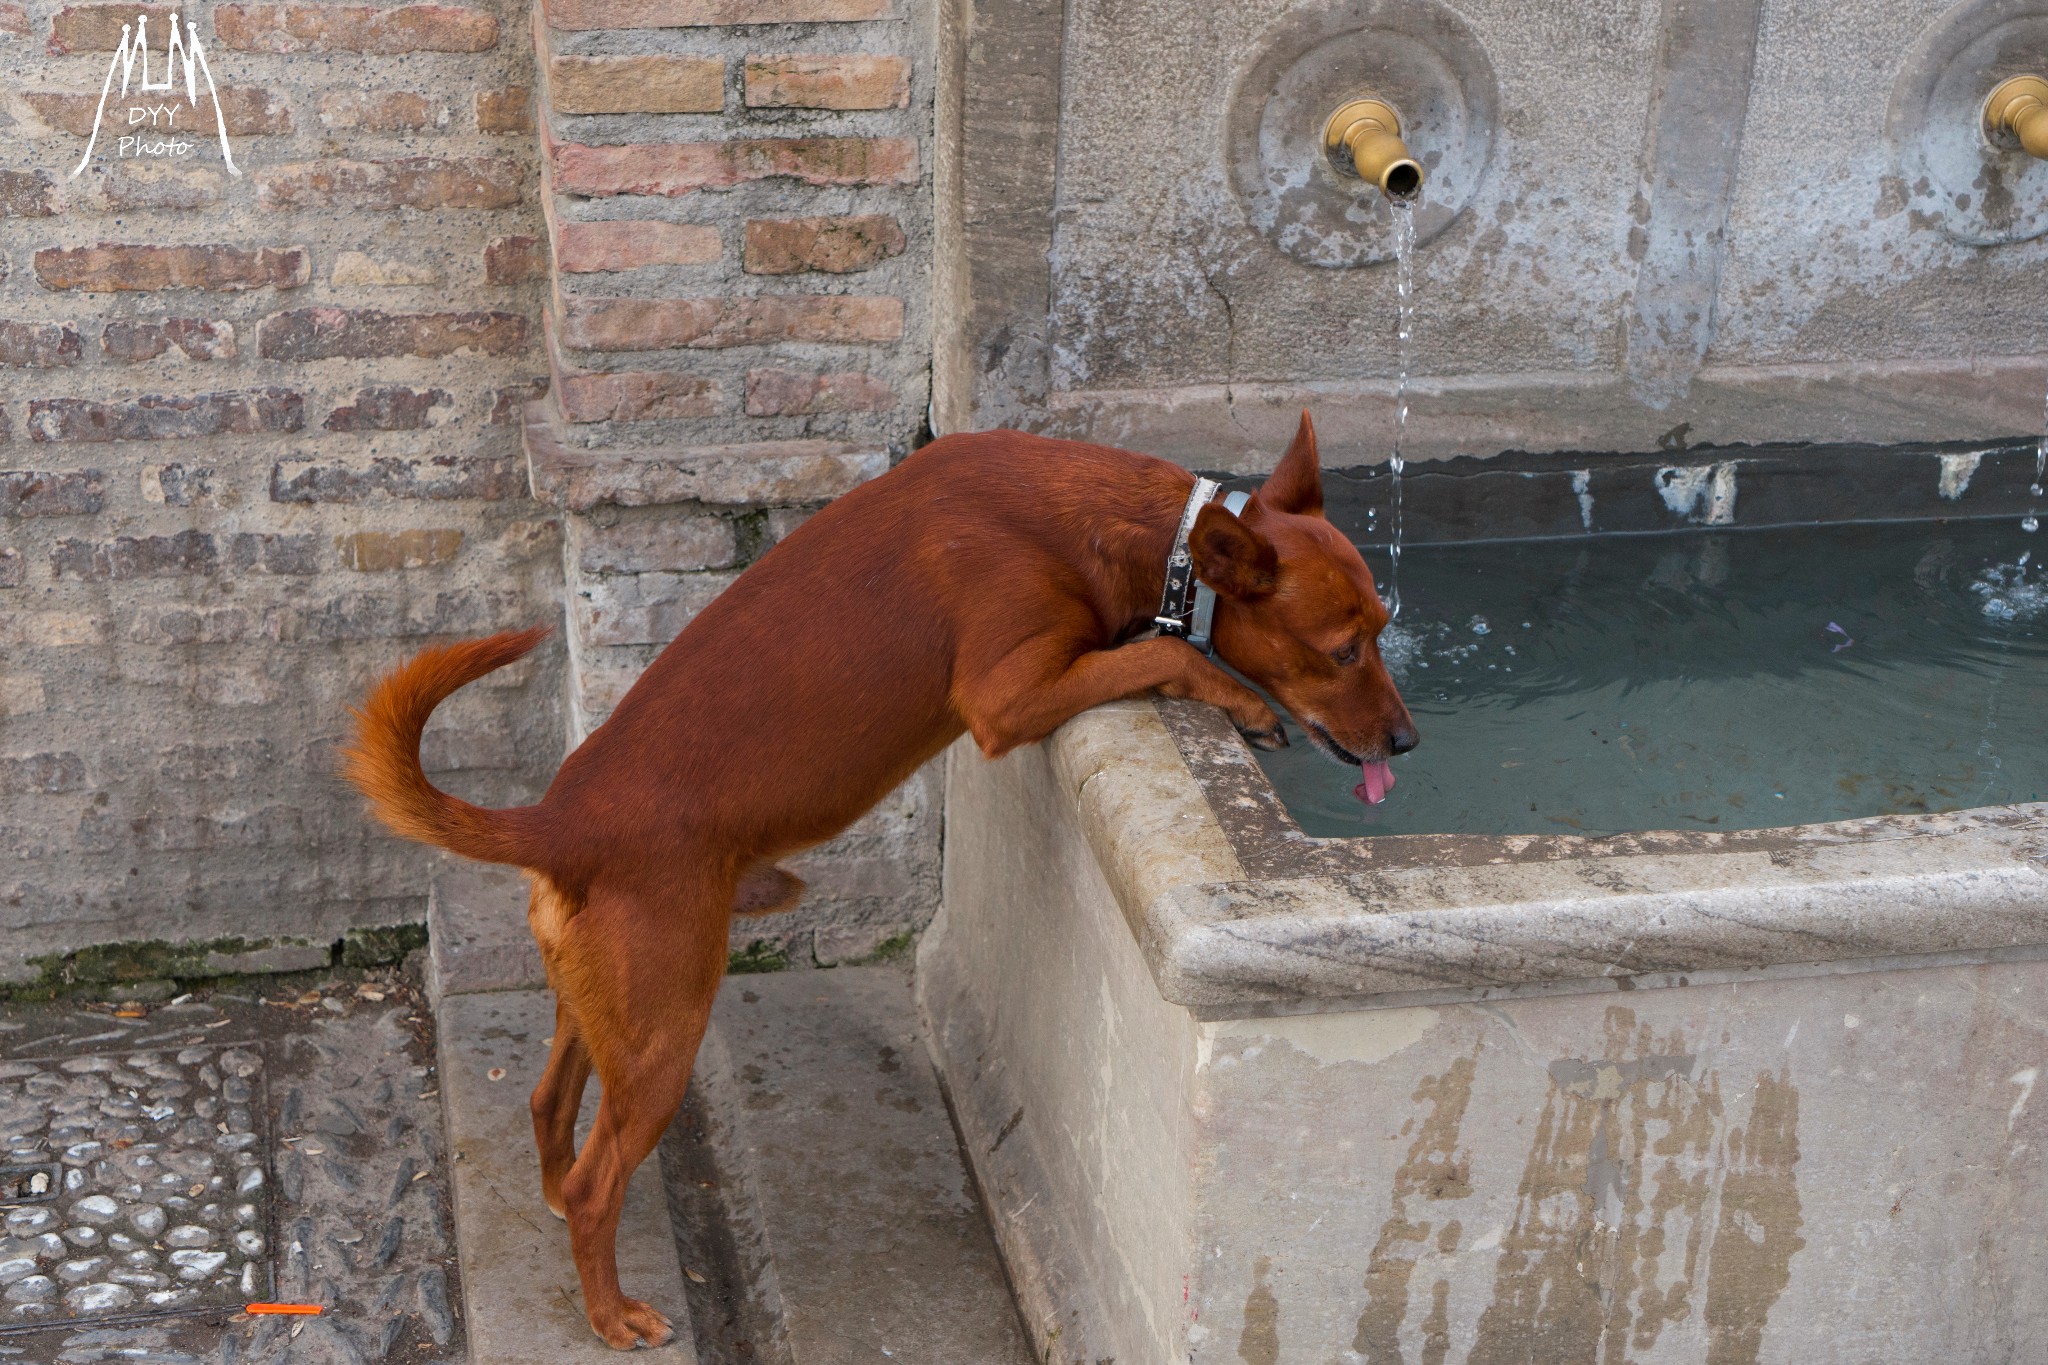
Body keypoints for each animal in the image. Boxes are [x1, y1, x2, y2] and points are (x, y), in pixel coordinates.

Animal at [344, 411, 1417, 1350]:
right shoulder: (1006, 697)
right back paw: (610, 1314)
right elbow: (1161, 651)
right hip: (664, 1035)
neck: (1137, 530)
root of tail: (558, 823)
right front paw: (1242, 699)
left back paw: (555, 1202)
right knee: (597, 1180)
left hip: (604, 1006)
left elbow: (1148, 645)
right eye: (1342, 649)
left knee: (546, 1107)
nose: (1408, 741)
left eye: (1385, 623)